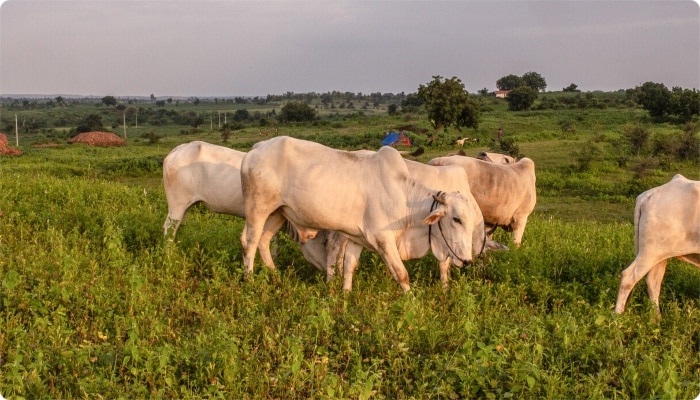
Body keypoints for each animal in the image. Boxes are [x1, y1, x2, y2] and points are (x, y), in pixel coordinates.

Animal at [241, 137, 482, 290]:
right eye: (456, 219)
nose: (468, 260)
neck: (404, 197)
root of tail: (257, 148)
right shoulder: (383, 239)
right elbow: (402, 274)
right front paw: (412, 305)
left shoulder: (357, 239)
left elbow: (349, 268)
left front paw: (345, 296)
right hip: (257, 208)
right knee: (250, 242)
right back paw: (250, 281)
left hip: (278, 212)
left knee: (263, 241)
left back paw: (275, 275)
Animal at [616, 175, 696, 316]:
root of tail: (648, 195)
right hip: (650, 252)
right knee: (628, 277)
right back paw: (616, 316)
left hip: (660, 254)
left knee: (653, 282)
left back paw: (657, 318)